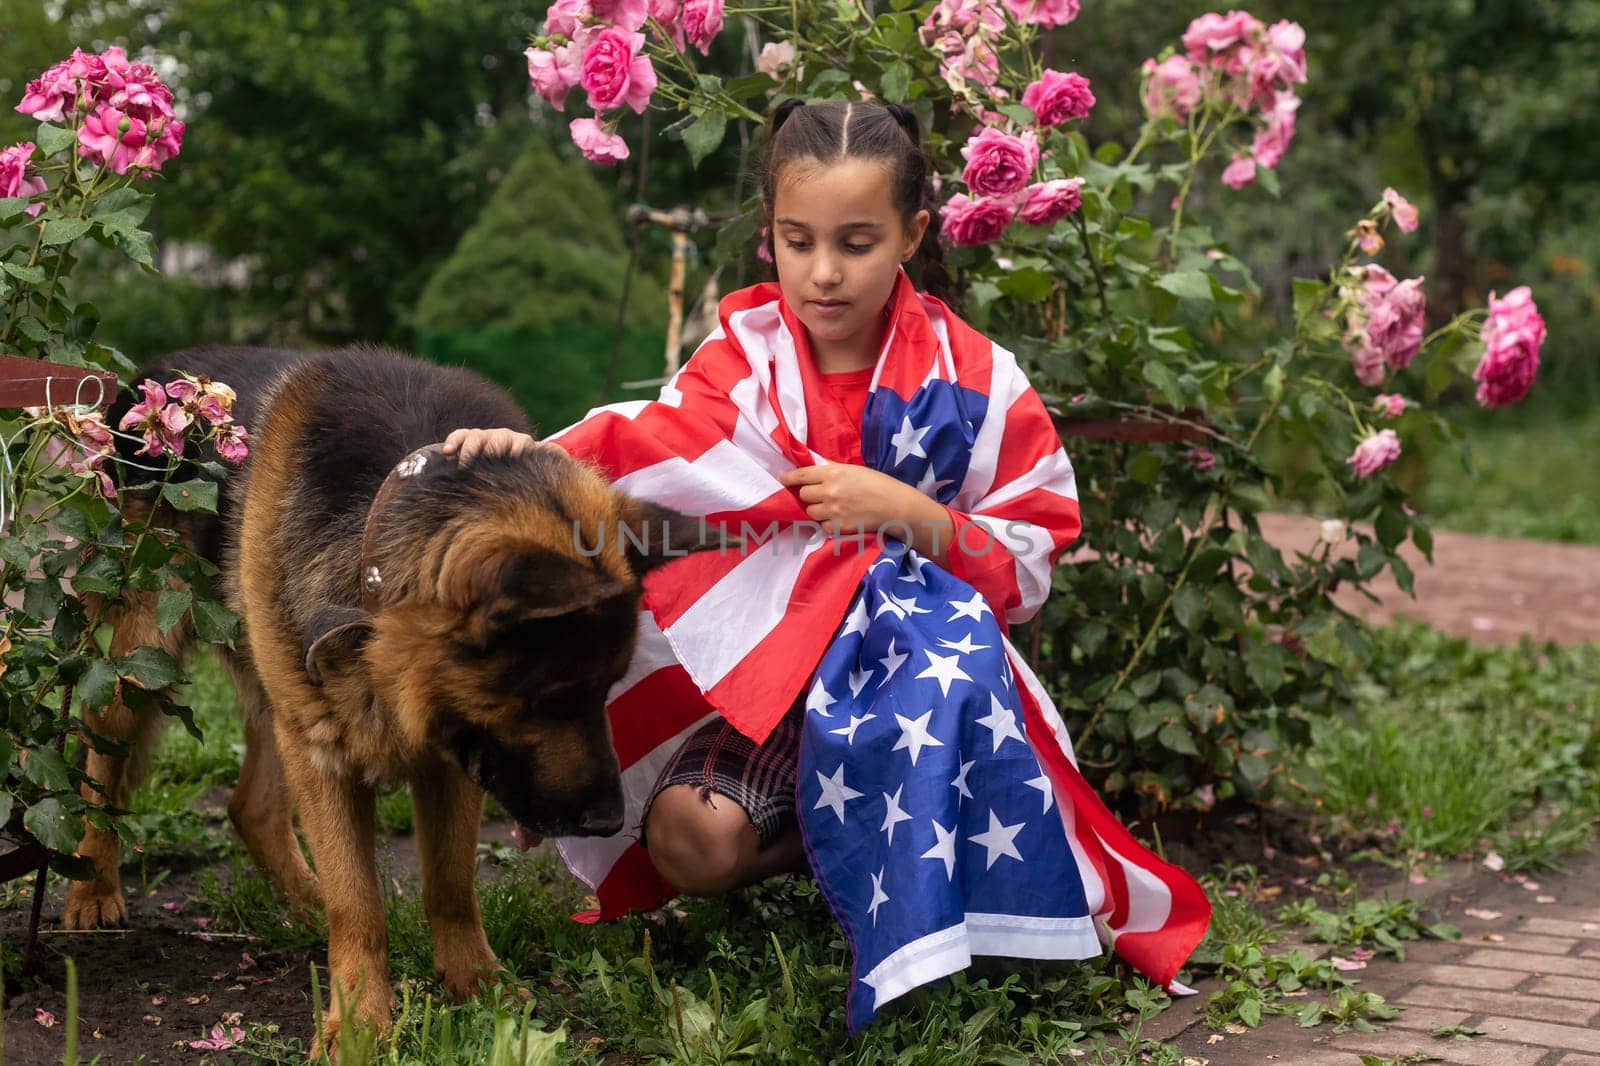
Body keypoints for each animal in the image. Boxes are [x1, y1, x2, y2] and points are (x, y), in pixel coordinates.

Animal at [73, 347, 713, 1037]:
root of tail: (157, 374)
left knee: (252, 807)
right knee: (101, 761)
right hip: (145, 665)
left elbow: (451, 885)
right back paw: (91, 889)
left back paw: (304, 901)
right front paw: (357, 1022)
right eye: (553, 697)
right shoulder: (325, 752)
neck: (372, 564)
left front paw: (478, 985)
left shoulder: (453, 754)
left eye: (607, 689)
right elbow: (358, 905)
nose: (610, 823)